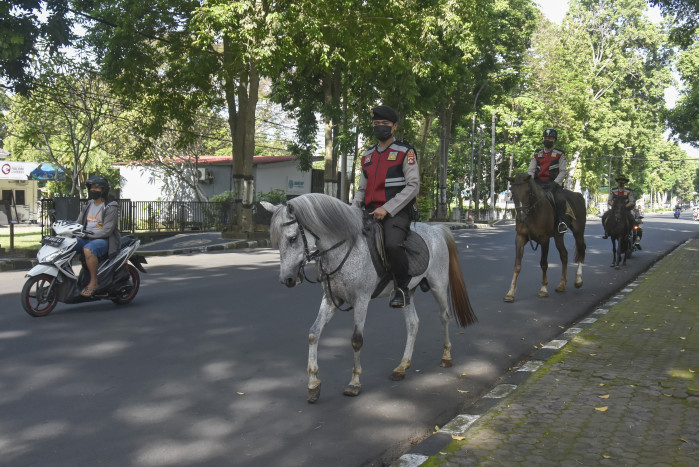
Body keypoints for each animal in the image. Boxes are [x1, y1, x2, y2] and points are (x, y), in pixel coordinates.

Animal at [262, 192, 476, 404]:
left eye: (292, 238)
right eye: (277, 241)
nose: (287, 279)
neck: (344, 248)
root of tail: (436, 229)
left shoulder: (361, 300)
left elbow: (356, 340)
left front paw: (354, 383)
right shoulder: (331, 300)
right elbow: (314, 333)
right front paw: (313, 384)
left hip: (437, 284)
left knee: (444, 316)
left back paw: (446, 357)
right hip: (407, 292)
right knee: (413, 323)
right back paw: (402, 366)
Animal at [506, 173, 588, 304]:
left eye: (528, 192)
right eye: (512, 193)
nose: (521, 217)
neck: (532, 214)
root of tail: (578, 195)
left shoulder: (544, 239)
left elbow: (544, 263)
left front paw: (543, 289)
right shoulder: (520, 237)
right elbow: (517, 265)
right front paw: (510, 293)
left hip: (578, 232)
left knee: (581, 251)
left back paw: (578, 280)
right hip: (558, 236)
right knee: (564, 254)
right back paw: (562, 284)